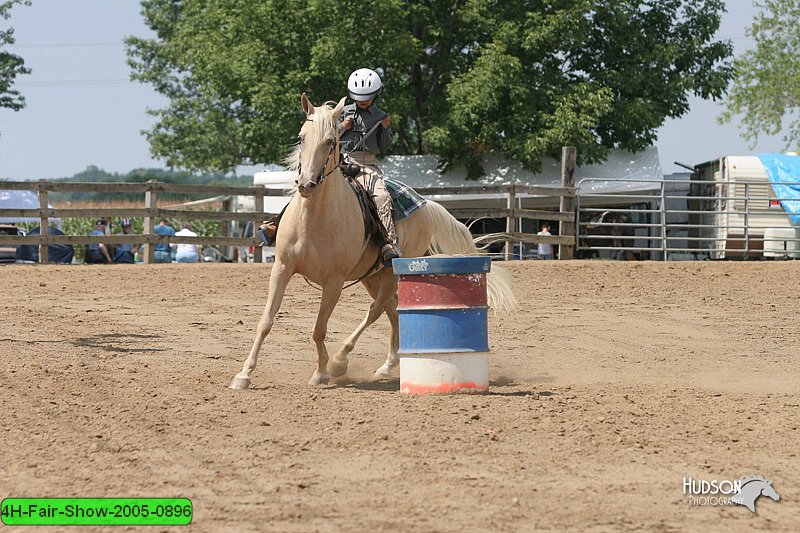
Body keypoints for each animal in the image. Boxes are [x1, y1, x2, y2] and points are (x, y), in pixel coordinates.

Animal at [230, 93, 520, 388]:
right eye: (301, 138)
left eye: (331, 141)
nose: (306, 185)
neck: (313, 220)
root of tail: (426, 205)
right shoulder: (282, 268)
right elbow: (266, 321)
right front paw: (243, 375)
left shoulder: (334, 282)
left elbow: (319, 328)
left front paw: (322, 371)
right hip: (371, 276)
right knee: (392, 310)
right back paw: (387, 366)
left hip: (392, 272)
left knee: (377, 310)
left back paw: (342, 361)